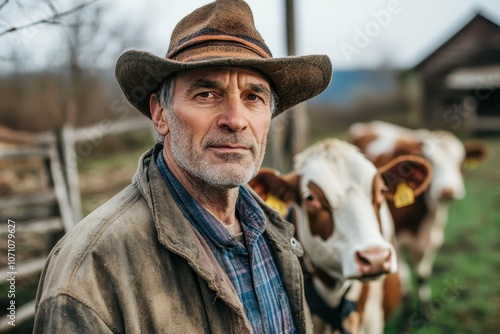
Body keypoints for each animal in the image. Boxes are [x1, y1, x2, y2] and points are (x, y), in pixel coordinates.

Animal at [348, 121, 488, 320]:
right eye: (431, 163)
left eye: (461, 163)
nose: (447, 191)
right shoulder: (396, 244)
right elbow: (405, 279)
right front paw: (406, 312)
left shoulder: (433, 241)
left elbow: (423, 275)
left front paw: (425, 312)